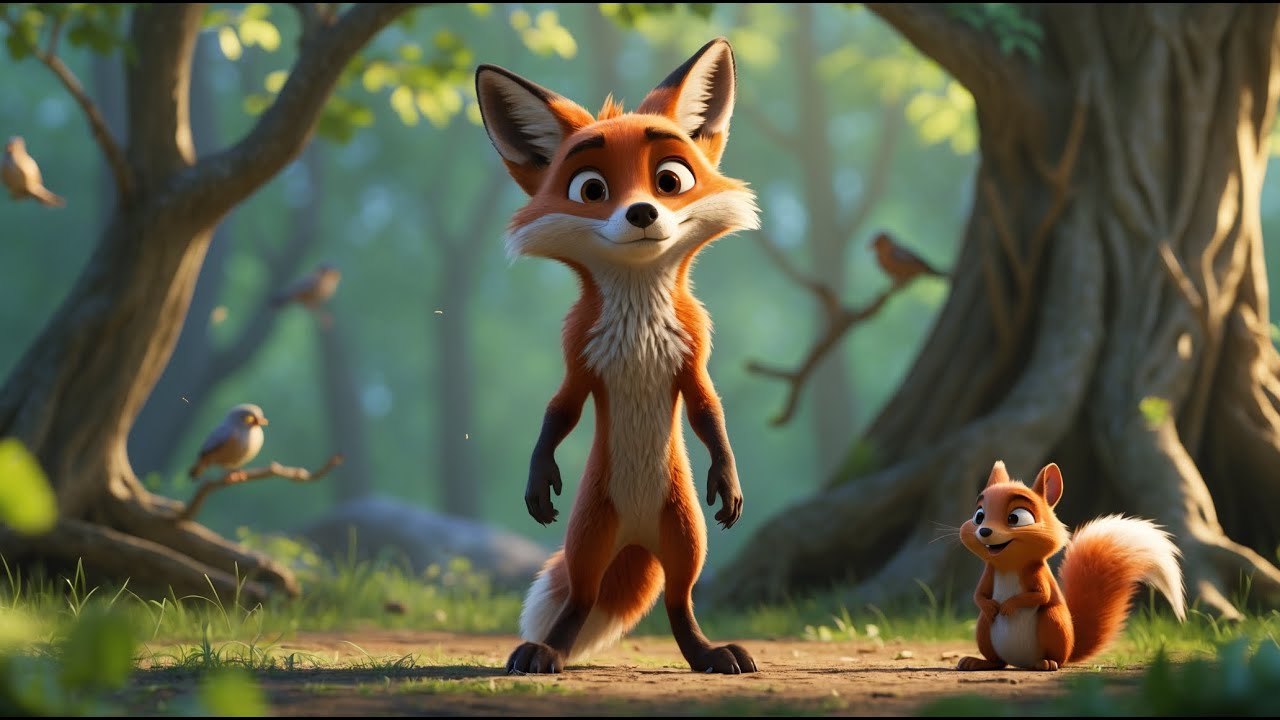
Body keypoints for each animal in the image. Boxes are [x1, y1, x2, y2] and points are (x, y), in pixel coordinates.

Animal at [474, 37, 760, 675]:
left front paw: (729, 480)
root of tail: (635, 537)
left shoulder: (692, 357)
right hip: (588, 536)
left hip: (686, 536)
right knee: (581, 598)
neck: (638, 320)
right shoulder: (578, 357)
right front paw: (537, 482)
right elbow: (558, 413)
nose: (642, 213)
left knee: (679, 602)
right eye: (591, 189)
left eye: (670, 180)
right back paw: (546, 651)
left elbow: (709, 413)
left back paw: (709, 654)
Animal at [958, 460, 1186, 671]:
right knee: (998, 660)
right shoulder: (990, 571)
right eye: (979, 515)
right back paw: (976, 661)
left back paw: (1046, 662)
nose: (985, 531)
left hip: (1054, 622)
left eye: (1016, 518)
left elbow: (1041, 595)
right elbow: (978, 595)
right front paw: (989, 605)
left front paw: (1008, 605)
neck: (1009, 565)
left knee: (1055, 656)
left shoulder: (1036, 573)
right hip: (984, 628)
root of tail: (1021, 662)